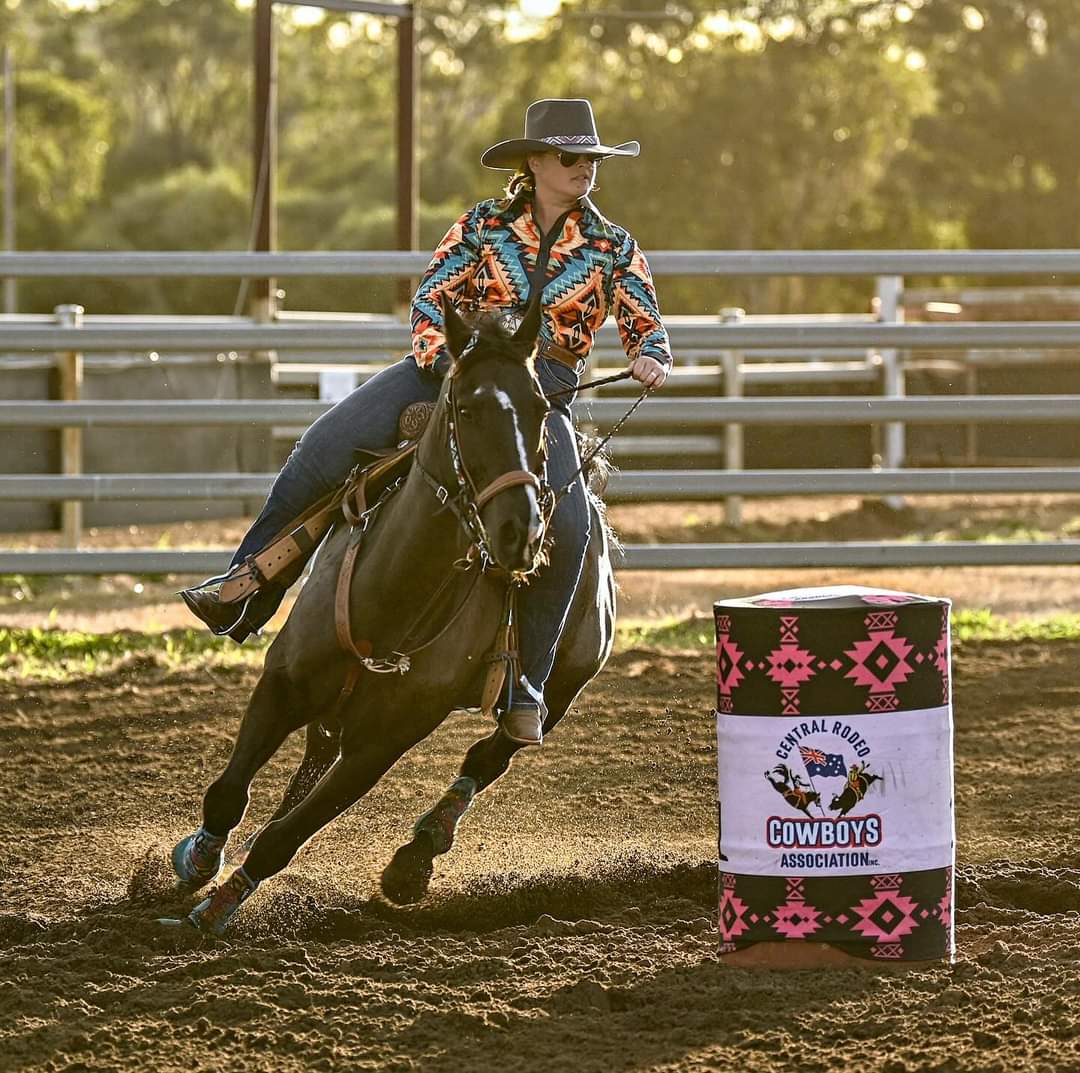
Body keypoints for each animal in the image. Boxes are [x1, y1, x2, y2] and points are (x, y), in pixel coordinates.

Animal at [159, 300, 617, 928]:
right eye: (466, 407)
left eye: (540, 411)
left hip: (562, 689)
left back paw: (415, 859)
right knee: (310, 761)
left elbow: (285, 837)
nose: (521, 531)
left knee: (489, 755)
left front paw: (215, 912)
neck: (394, 591)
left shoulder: (381, 744)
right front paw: (198, 861)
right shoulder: (282, 683)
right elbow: (230, 792)